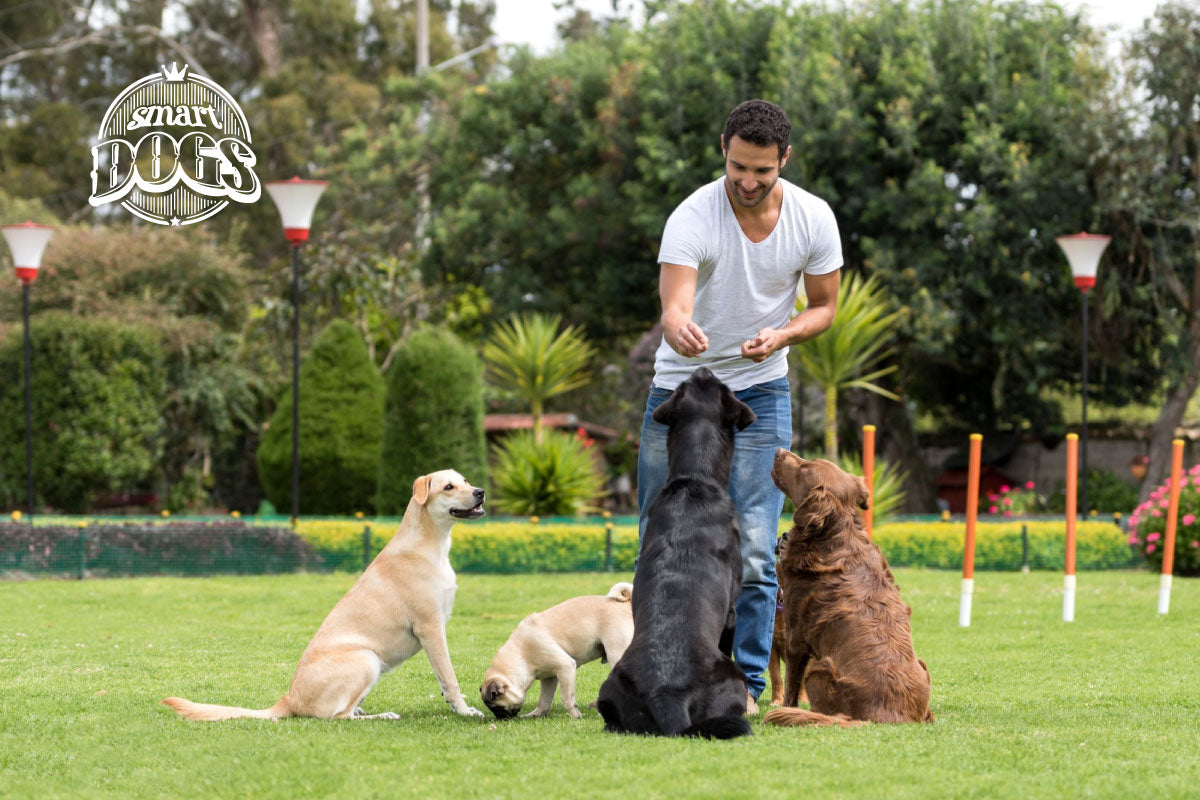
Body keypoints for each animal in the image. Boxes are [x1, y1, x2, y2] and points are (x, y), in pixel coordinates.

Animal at [163, 472, 487, 724]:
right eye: (448, 487)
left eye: (465, 481)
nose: (480, 492)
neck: (430, 544)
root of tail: (289, 699)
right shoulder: (431, 628)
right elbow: (450, 676)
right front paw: (464, 710)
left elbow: (443, 679)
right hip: (367, 658)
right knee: (338, 716)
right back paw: (381, 716)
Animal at [482, 582, 638, 719]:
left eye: (497, 707)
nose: (499, 718)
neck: (521, 655)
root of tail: (626, 604)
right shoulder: (549, 677)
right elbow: (544, 701)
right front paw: (536, 715)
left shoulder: (565, 667)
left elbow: (567, 698)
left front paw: (575, 716)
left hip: (615, 653)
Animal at [763, 453, 931, 729]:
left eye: (805, 467)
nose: (778, 451)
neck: (834, 538)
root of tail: (882, 718)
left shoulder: (795, 635)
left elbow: (790, 688)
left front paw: (787, 707)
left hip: (819, 668)